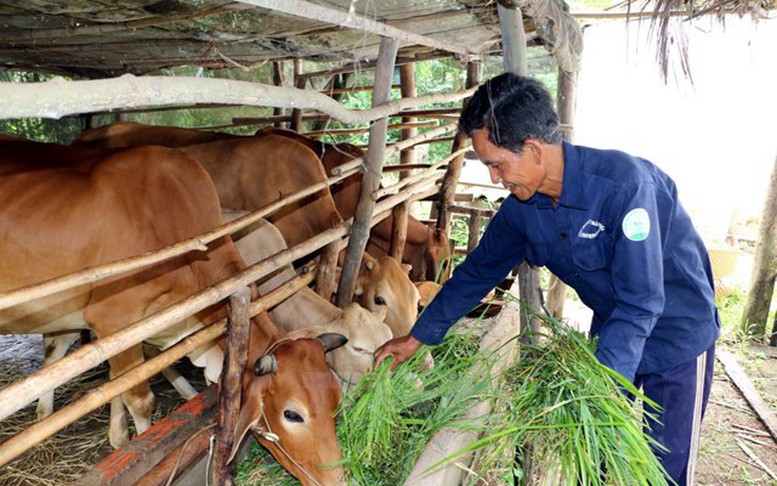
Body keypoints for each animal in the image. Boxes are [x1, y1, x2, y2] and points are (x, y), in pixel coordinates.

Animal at [0, 142, 346, 484]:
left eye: (335, 396)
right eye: (293, 414)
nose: (337, 479)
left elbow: (117, 383)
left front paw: (118, 438)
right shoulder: (115, 322)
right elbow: (140, 402)